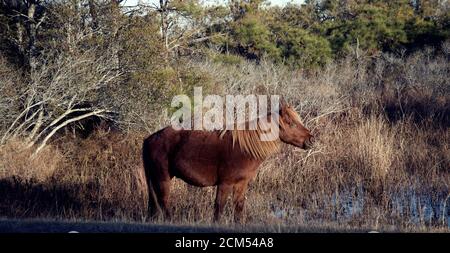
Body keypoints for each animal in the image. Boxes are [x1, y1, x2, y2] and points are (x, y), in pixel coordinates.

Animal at [143, 101, 312, 223]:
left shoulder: (241, 184)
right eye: (291, 124)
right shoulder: (225, 184)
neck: (245, 149)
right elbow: (219, 208)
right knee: (164, 202)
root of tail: (149, 139)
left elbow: (238, 208)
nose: (311, 139)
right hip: (163, 179)